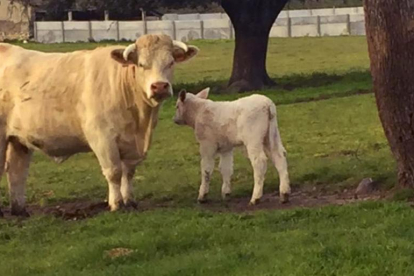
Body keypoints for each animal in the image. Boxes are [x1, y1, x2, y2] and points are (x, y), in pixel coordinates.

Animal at [0, 34, 199, 216]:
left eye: (171, 62)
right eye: (142, 64)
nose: (159, 86)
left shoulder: (132, 145)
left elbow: (128, 172)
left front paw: (129, 200)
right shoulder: (102, 138)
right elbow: (114, 172)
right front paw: (116, 203)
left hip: (19, 141)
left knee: (17, 173)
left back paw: (20, 211)